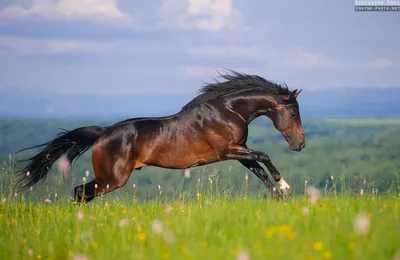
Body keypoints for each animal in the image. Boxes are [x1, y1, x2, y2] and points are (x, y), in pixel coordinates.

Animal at [14, 70, 304, 203]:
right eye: (293, 113)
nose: (299, 145)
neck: (228, 111)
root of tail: (103, 133)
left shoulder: (239, 150)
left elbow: (258, 169)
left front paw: (278, 195)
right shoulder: (227, 151)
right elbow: (264, 156)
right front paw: (285, 188)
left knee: (81, 193)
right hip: (112, 178)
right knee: (80, 192)